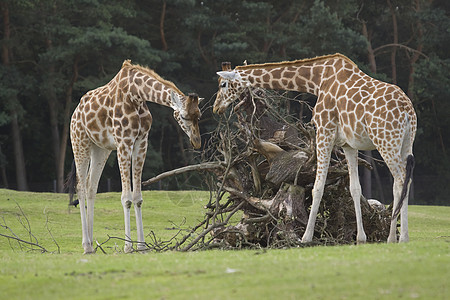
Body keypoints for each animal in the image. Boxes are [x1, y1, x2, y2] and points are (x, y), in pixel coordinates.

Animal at [69, 59, 202, 253]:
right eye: (184, 116)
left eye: (199, 115)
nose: (197, 141)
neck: (137, 94)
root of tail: (75, 113)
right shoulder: (124, 141)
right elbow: (126, 198)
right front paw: (128, 246)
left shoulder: (141, 141)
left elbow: (137, 198)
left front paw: (142, 246)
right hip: (80, 141)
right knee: (80, 186)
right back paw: (86, 245)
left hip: (100, 148)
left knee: (91, 186)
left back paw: (92, 245)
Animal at [213, 54, 416, 245]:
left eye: (223, 84)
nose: (216, 108)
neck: (317, 80)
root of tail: (408, 112)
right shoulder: (348, 145)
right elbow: (355, 188)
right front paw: (360, 238)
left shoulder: (324, 131)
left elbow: (318, 187)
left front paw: (306, 237)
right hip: (406, 142)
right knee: (404, 180)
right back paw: (397, 237)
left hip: (386, 140)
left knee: (400, 180)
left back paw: (400, 238)